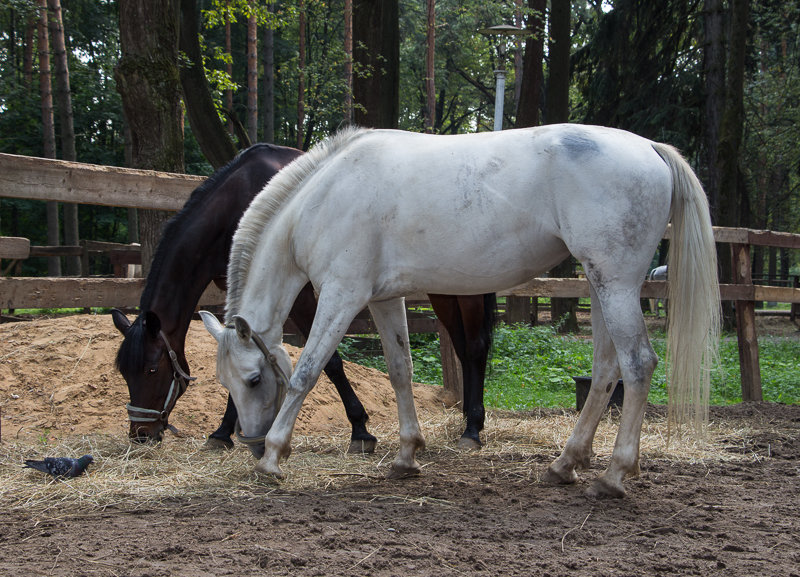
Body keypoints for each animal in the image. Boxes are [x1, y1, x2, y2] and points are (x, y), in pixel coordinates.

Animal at [112, 143, 494, 450]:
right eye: (124, 374)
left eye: (151, 369)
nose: (141, 434)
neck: (240, 200)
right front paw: (224, 432)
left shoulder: (303, 294)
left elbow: (330, 362)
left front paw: (360, 429)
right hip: (446, 290)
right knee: (463, 347)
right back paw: (466, 418)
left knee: (475, 348)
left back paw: (473, 428)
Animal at [198, 124, 720, 498]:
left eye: (253, 379)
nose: (250, 441)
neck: (322, 199)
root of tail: (649, 147)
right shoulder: (383, 298)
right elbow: (400, 370)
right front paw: (406, 456)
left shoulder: (342, 296)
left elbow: (307, 371)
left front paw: (273, 459)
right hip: (600, 284)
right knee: (607, 371)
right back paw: (565, 464)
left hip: (616, 286)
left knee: (638, 365)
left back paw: (613, 476)